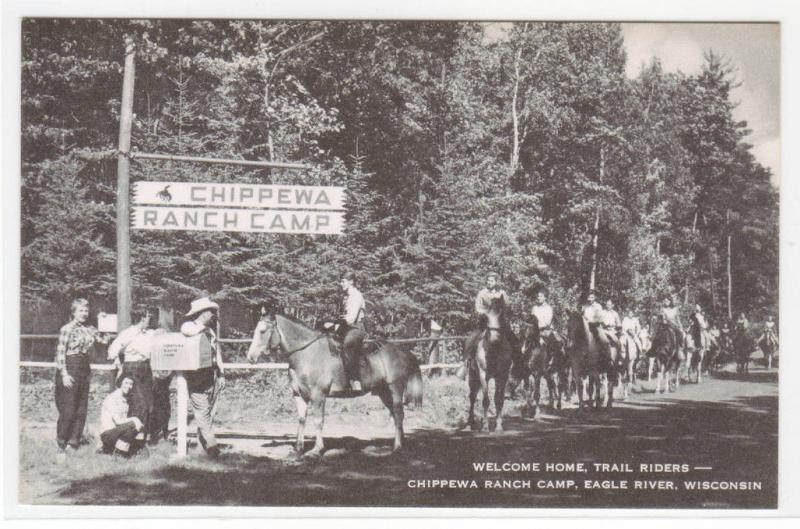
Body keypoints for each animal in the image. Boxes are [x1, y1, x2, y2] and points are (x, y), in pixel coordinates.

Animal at [247, 310, 424, 454]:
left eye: (262, 331)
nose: (250, 357)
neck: (307, 354)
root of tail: (403, 351)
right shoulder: (298, 394)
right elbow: (302, 419)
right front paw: (299, 448)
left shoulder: (318, 395)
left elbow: (318, 421)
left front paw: (317, 450)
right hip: (383, 392)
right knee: (395, 415)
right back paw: (400, 443)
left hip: (395, 389)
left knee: (399, 414)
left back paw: (398, 447)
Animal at [462, 294, 512, 432]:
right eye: (486, 317)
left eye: (501, 315)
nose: (494, 339)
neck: (494, 351)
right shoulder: (484, 375)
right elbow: (485, 400)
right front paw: (485, 426)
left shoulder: (502, 376)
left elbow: (499, 400)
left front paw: (499, 426)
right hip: (473, 377)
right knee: (472, 397)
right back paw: (470, 423)